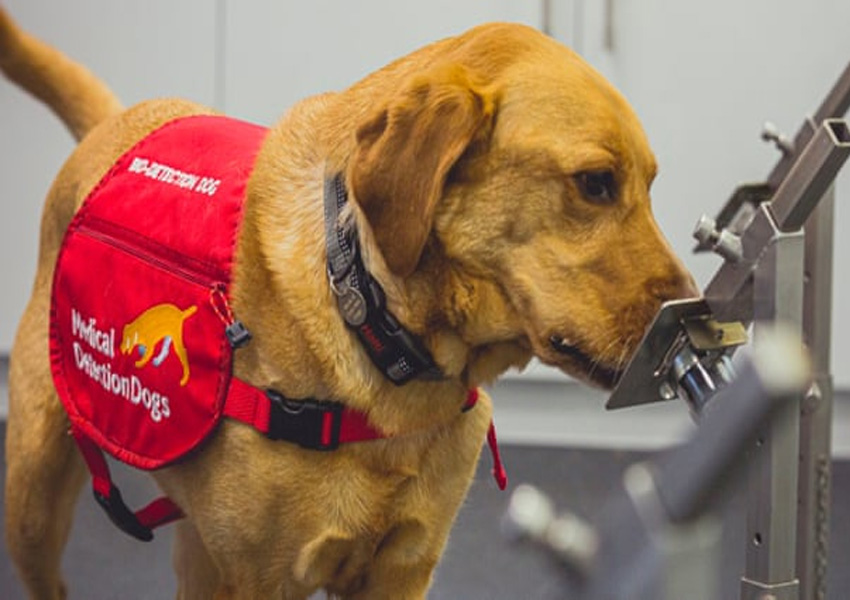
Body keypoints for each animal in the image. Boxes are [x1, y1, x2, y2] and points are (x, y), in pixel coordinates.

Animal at [1, 7, 697, 599]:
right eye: (595, 183)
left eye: (649, 185)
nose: (700, 317)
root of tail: (117, 121)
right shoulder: (261, 578)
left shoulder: (404, 567)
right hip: (33, 494)